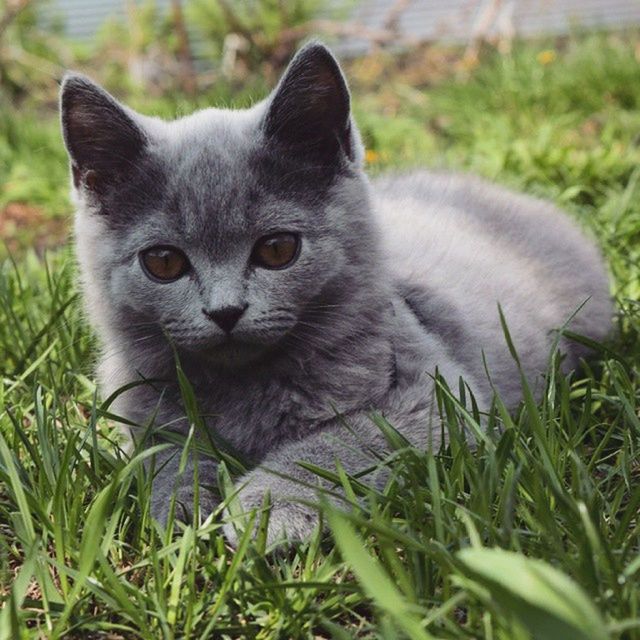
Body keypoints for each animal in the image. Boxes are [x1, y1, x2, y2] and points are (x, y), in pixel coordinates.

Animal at [58, 41, 608, 544]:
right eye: (164, 262)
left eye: (278, 249)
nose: (226, 311)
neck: (245, 388)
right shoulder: (144, 416)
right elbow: (165, 455)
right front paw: (181, 506)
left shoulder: (439, 397)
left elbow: (342, 440)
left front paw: (264, 507)